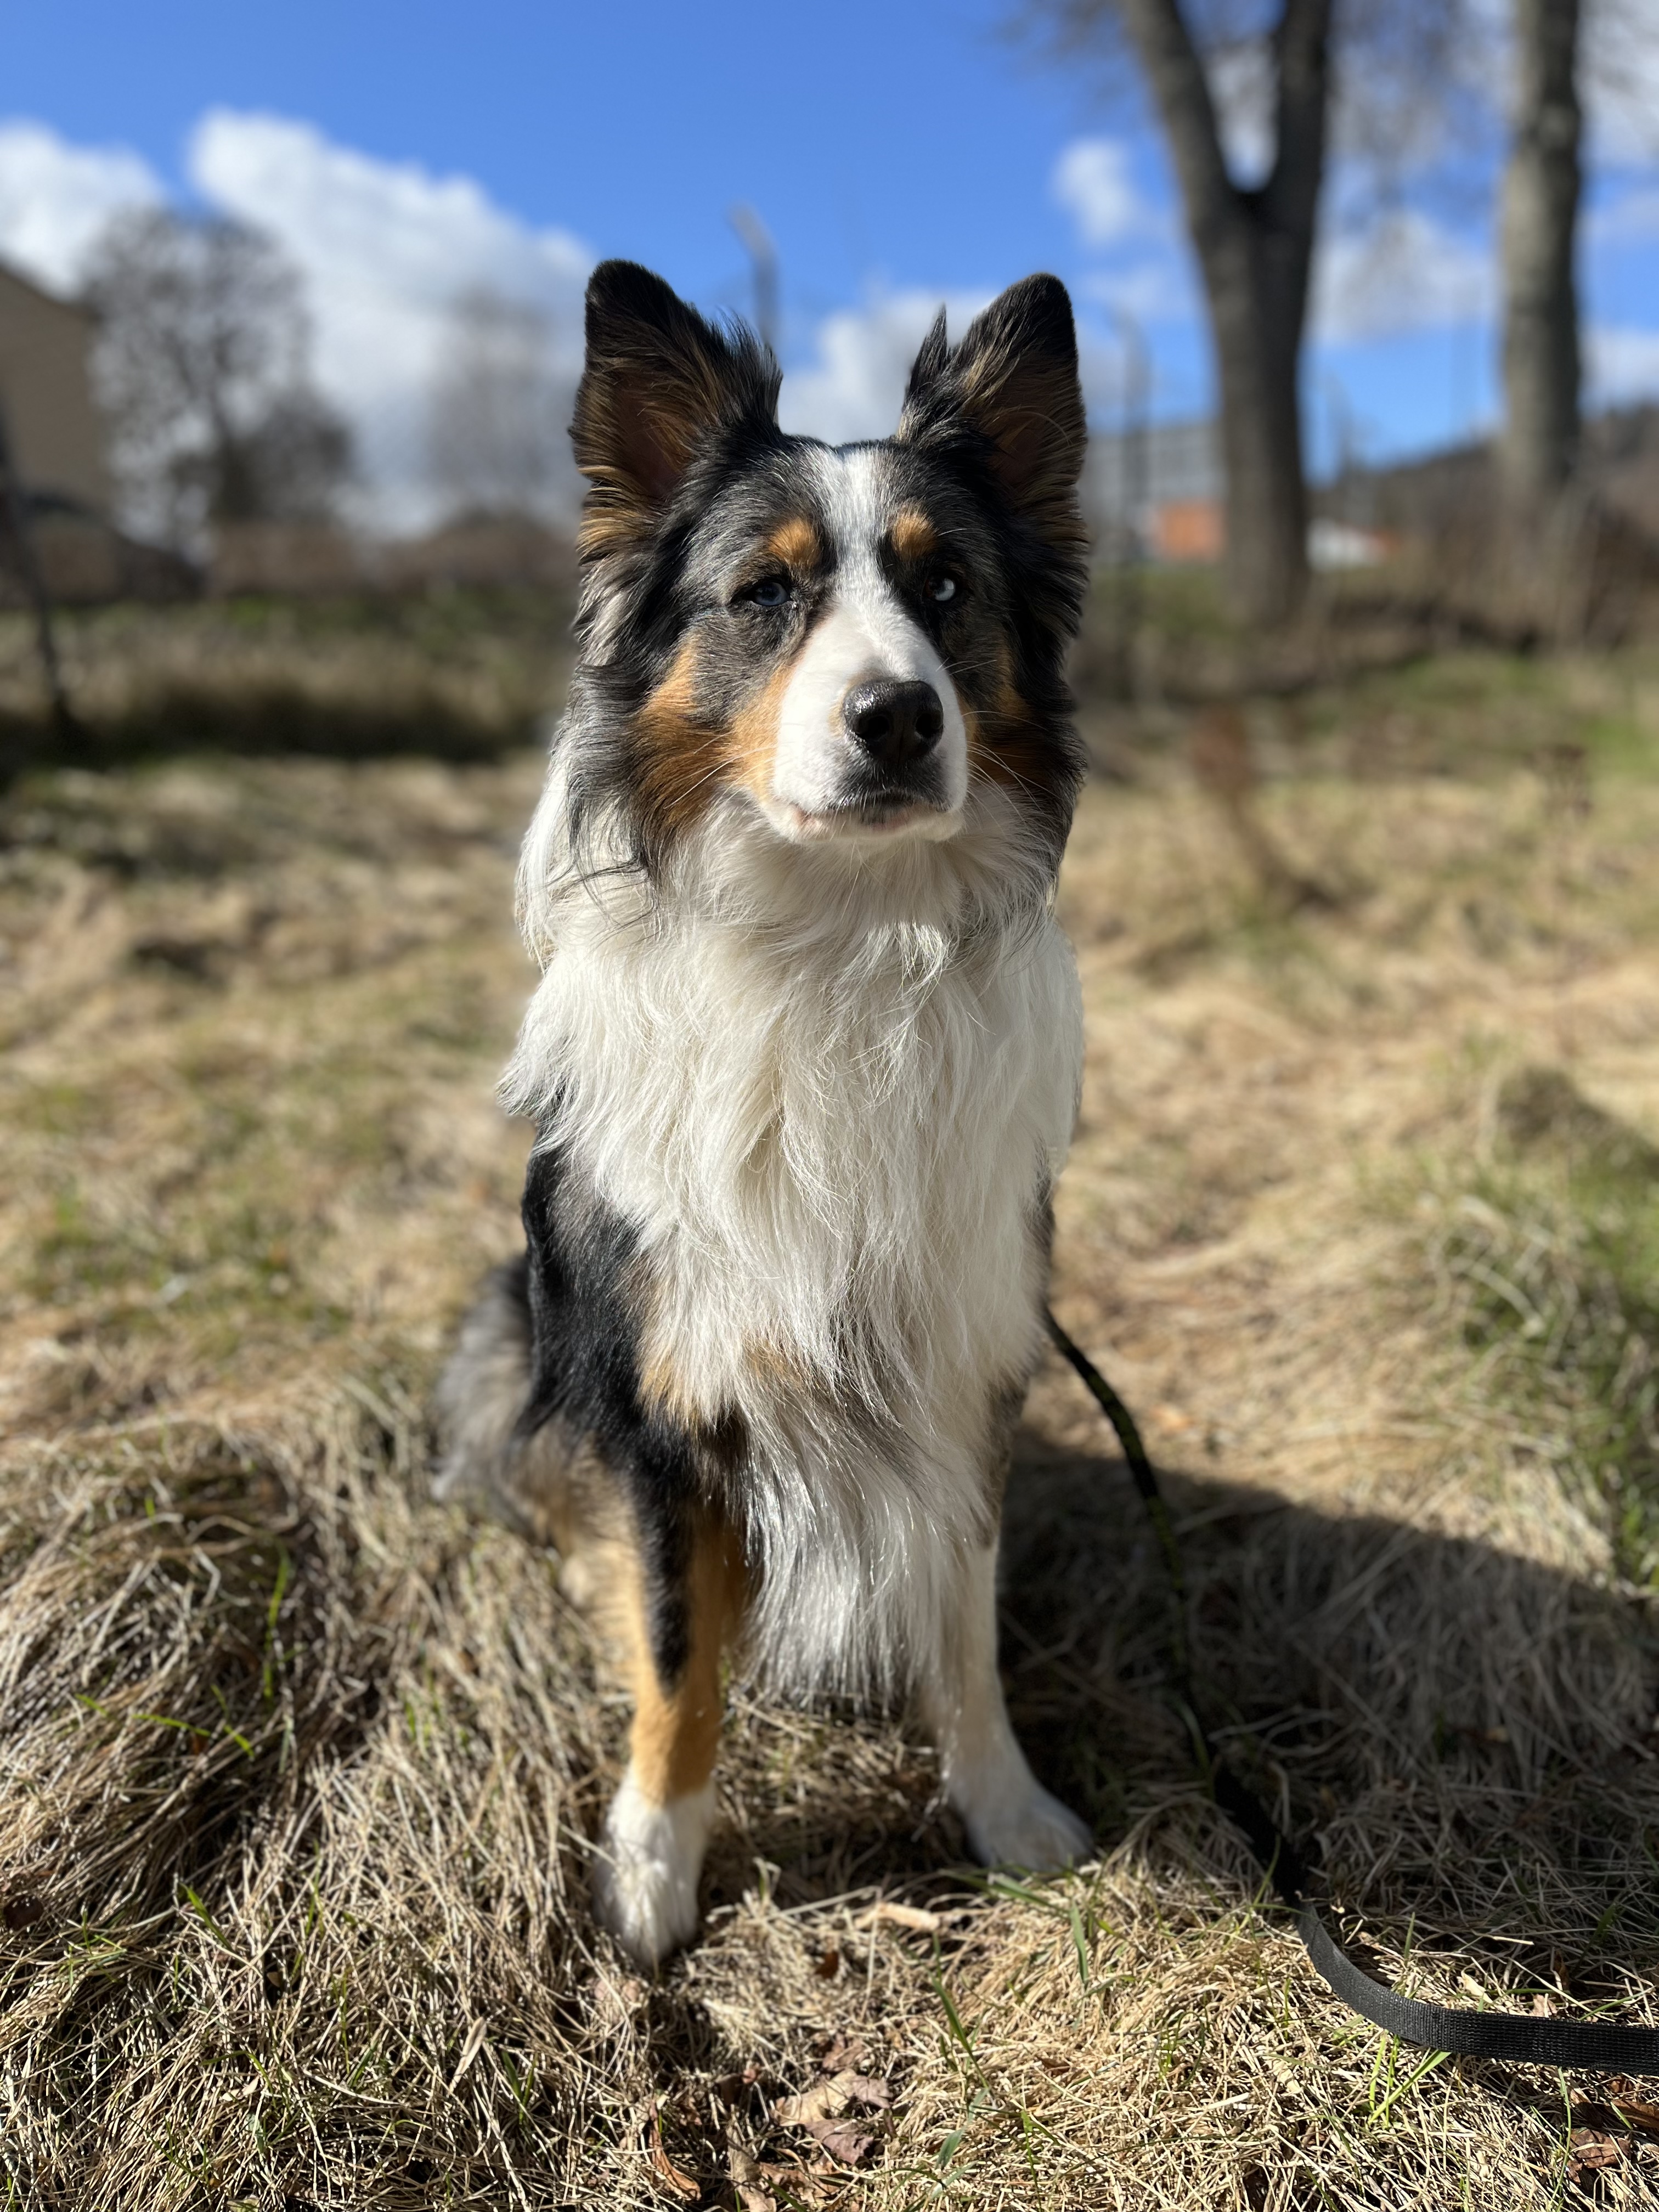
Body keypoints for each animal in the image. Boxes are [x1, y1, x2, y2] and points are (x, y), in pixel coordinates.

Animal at [436, 263, 1097, 1973]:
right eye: (766, 595)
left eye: (947, 589)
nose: (897, 720)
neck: (836, 946)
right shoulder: (669, 1405)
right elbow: (680, 1665)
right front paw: (652, 1881)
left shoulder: (964, 1363)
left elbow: (965, 1620)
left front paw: (1006, 1814)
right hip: (515, 1325)